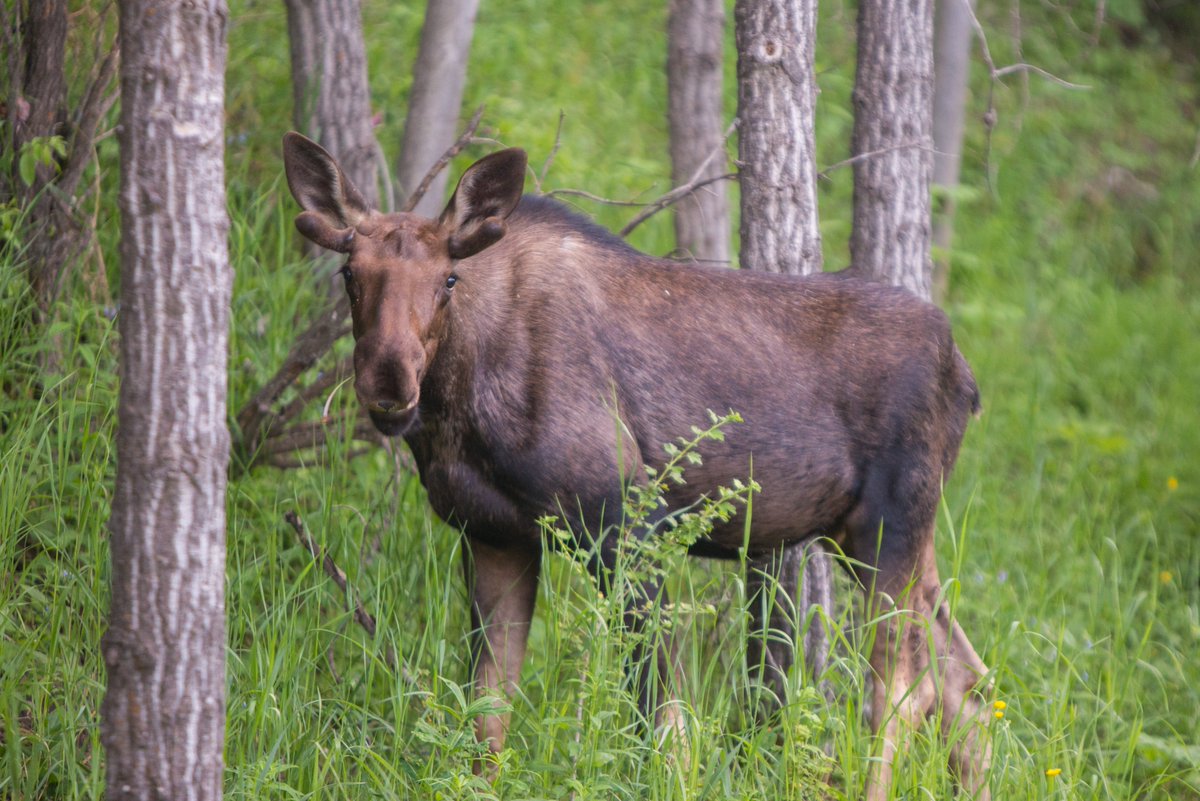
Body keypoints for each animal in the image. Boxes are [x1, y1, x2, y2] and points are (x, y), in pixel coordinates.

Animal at [282, 132, 993, 800]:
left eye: (447, 280)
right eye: (350, 274)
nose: (388, 380)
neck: (457, 412)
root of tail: (966, 376)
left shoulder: (625, 525)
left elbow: (665, 722)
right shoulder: (496, 537)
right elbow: (488, 716)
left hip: (889, 526)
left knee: (902, 690)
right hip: (877, 536)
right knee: (966, 681)